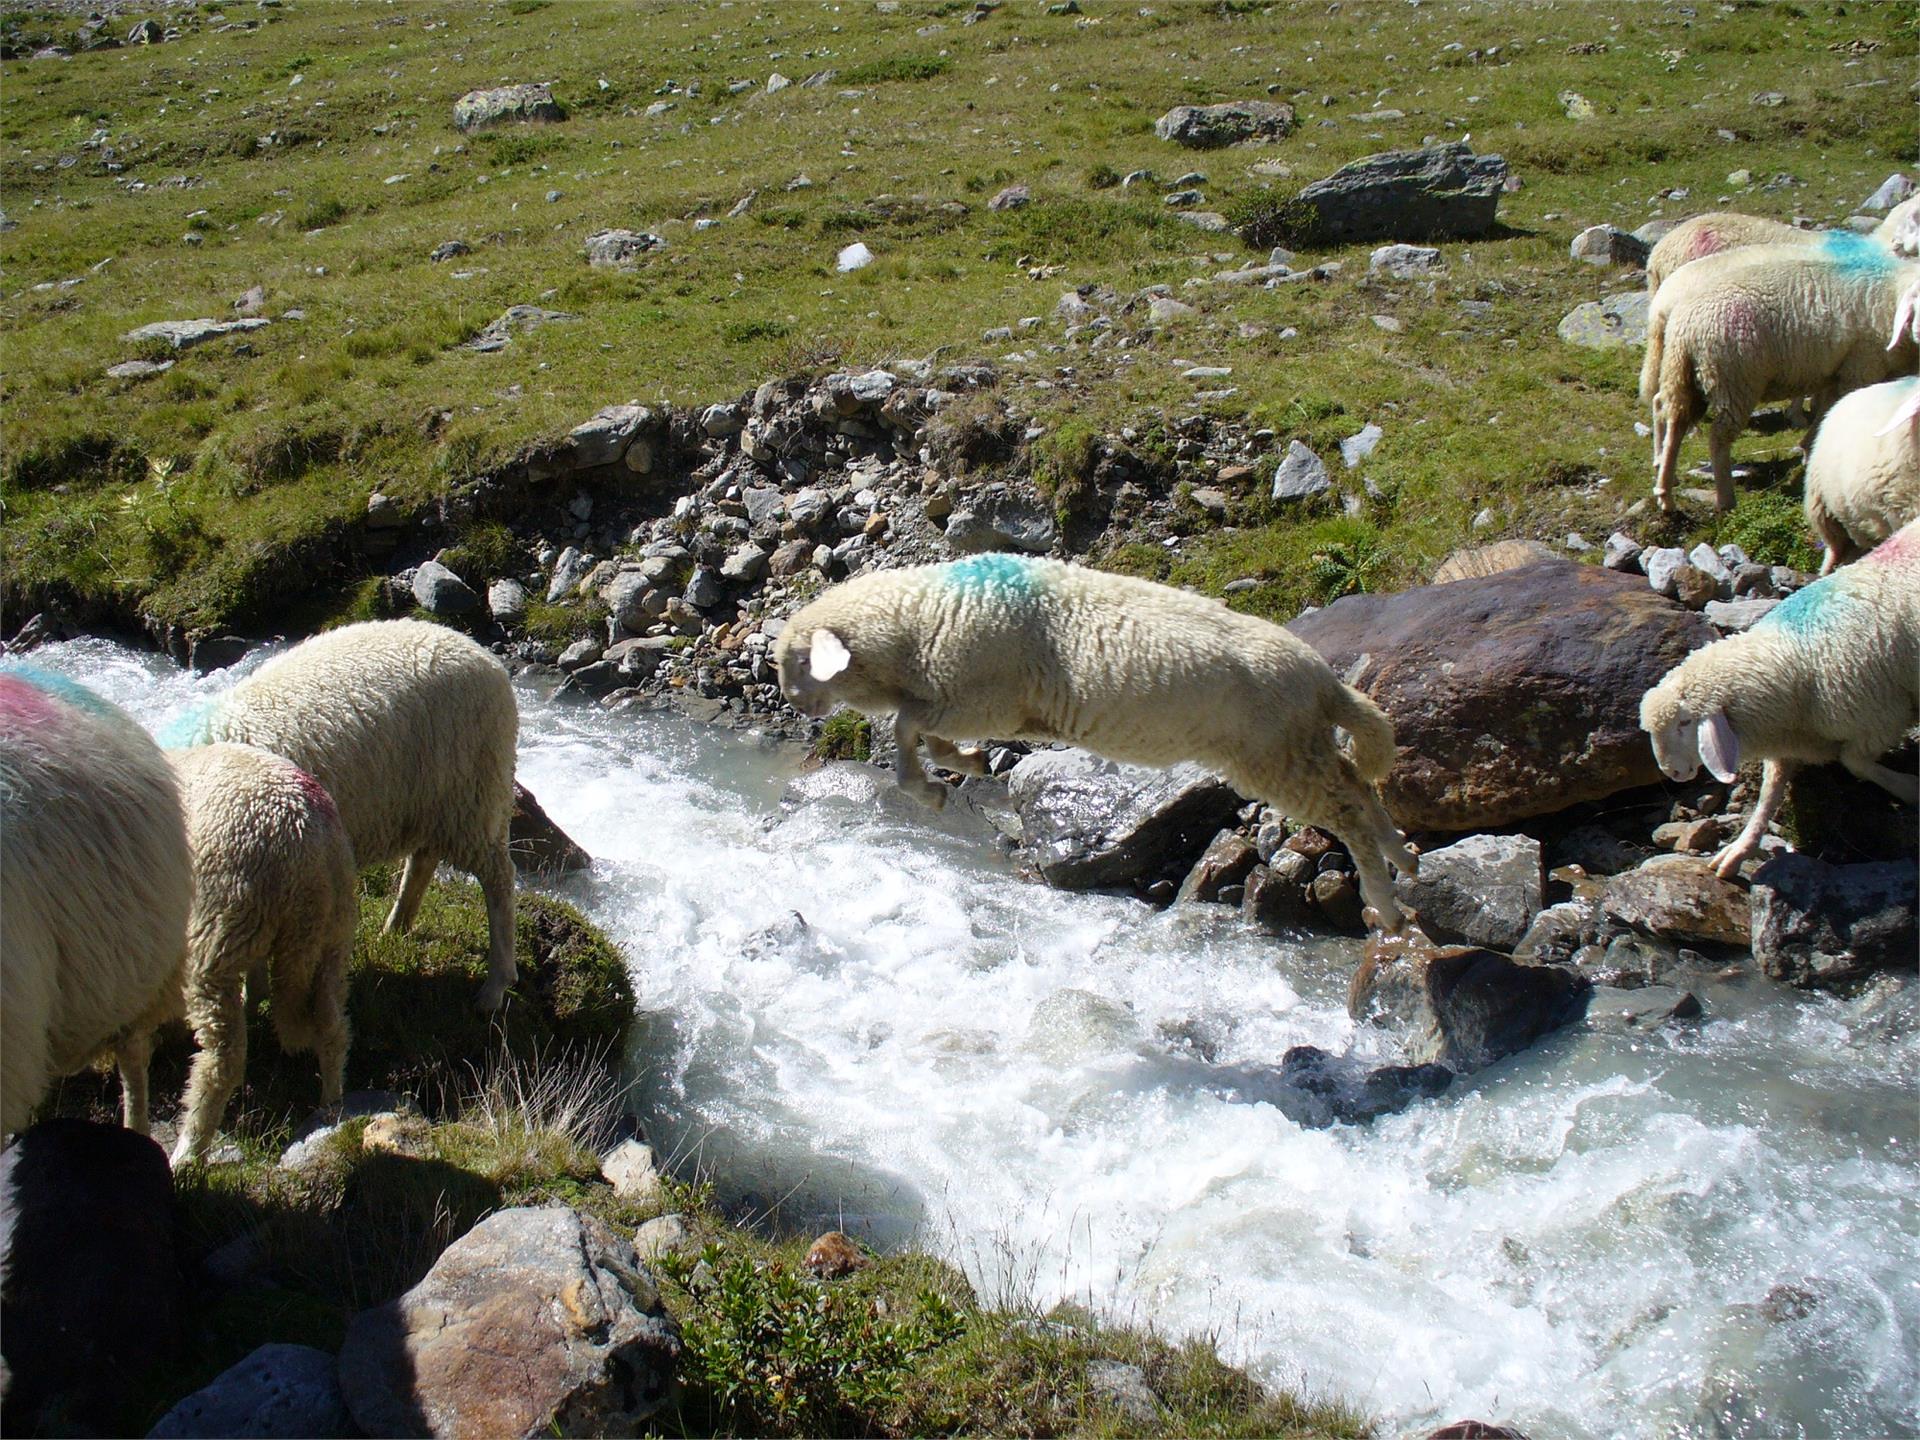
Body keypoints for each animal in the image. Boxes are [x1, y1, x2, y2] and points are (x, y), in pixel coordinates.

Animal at [116, 744, 360, 1175]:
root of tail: (303, 837)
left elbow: (132, 1054)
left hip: (215, 936)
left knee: (222, 1060)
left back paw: (187, 1152)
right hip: (333, 931)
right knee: (333, 1026)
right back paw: (331, 1108)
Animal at [166, 622, 522, 1013]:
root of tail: (482, 654)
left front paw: (250, 998)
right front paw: (253, 994)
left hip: (474, 794)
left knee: (499, 880)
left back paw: (495, 985)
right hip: (432, 799)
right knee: (424, 859)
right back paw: (396, 925)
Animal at [771, 552, 1420, 936]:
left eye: (799, 660)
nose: (796, 705)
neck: (920, 622)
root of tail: (1321, 680)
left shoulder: (979, 696)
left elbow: (905, 728)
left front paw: (928, 790)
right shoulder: (963, 700)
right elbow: (921, 732)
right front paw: (966, 762)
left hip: (1271, 754)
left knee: (1346, 809)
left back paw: (1385, 902)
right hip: (1297, 747)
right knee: (1357, 783)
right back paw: (1405, 857)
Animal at [1635, 232, 1920, 514]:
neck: (1893, 294)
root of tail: (1681, 322)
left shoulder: (1836, 372)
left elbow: (1824, 412)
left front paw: (1808, 448)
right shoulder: (1859, 369)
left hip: (1682, 375)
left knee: (1673, 419)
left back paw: (1665, 492)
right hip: (1734, 380)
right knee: (1718, 436)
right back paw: (1725, 499)